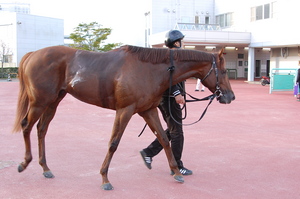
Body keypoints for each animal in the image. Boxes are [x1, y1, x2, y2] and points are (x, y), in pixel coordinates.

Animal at [12, 45, 234, 190]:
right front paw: (104, 178)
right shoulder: (125, 110)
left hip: (53, 101)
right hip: (39, 101)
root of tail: (33, 54)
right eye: (223, 71)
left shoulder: (148, 110)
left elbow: (164, 138)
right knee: (26, 126)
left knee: (41, 129)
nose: (230, 96)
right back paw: (24, 163)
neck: (150, 68)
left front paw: (177, 172)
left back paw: (45, 167)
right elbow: (114, 143)